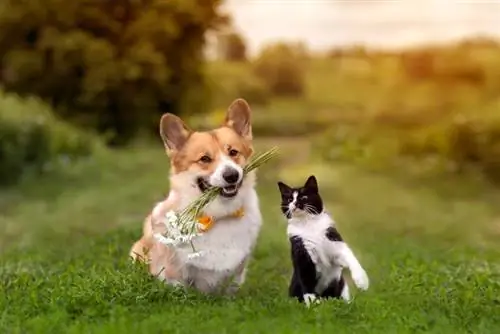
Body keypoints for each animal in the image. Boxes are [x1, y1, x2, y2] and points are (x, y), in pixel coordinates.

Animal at [130, 98, 262, 294]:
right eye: (204, 159)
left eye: (233, 152)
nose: (231, 175)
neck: (218, 215)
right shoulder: (173, 271)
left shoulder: (237, 271)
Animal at [278, 176, 368, 306]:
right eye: (290, 199)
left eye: (304, 197)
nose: (295, 203)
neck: (308, 224)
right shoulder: (301, 249)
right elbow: (306, 275)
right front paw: (312, 302)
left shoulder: (333, 239)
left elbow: (349, 256)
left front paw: (362, 281)